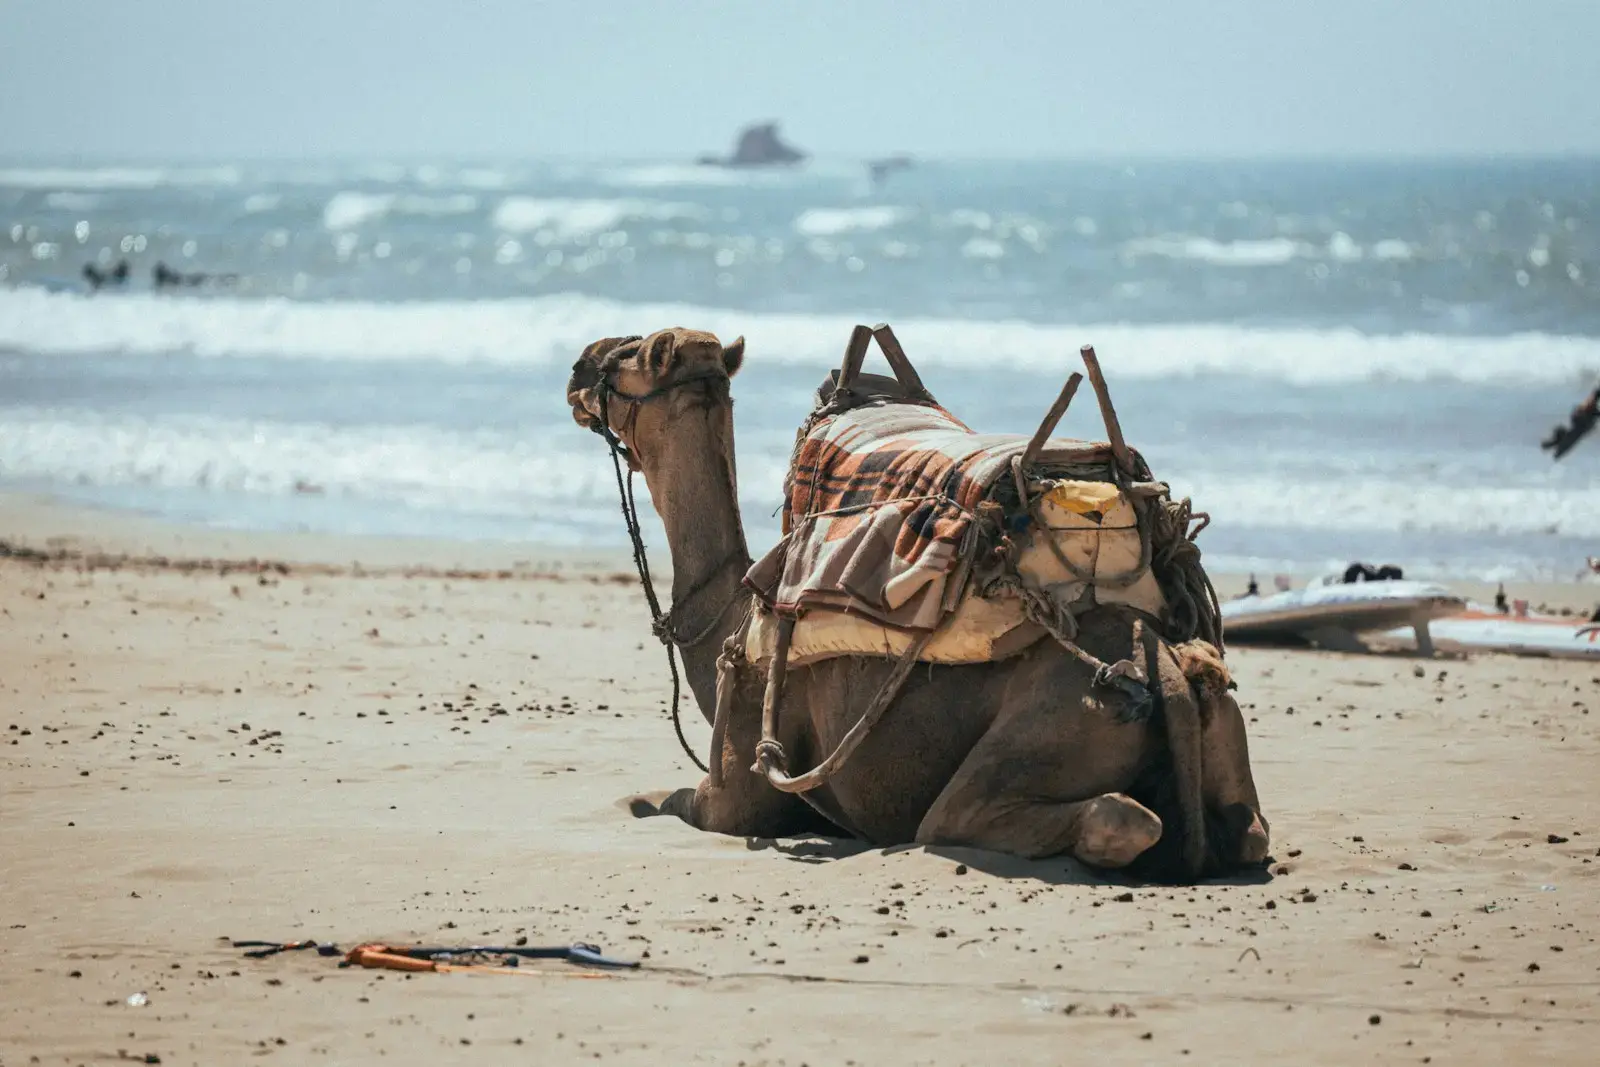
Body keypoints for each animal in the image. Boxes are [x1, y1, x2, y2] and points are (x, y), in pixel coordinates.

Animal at [567, 327, 1270, 880]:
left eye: (631, 353)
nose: (580, 363)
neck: (735, 623)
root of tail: (1167, 670)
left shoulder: (734, 795)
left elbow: (664, 801)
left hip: (1045, 734)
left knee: (1073, 817)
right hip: (1219, 722)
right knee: (1247, 832)